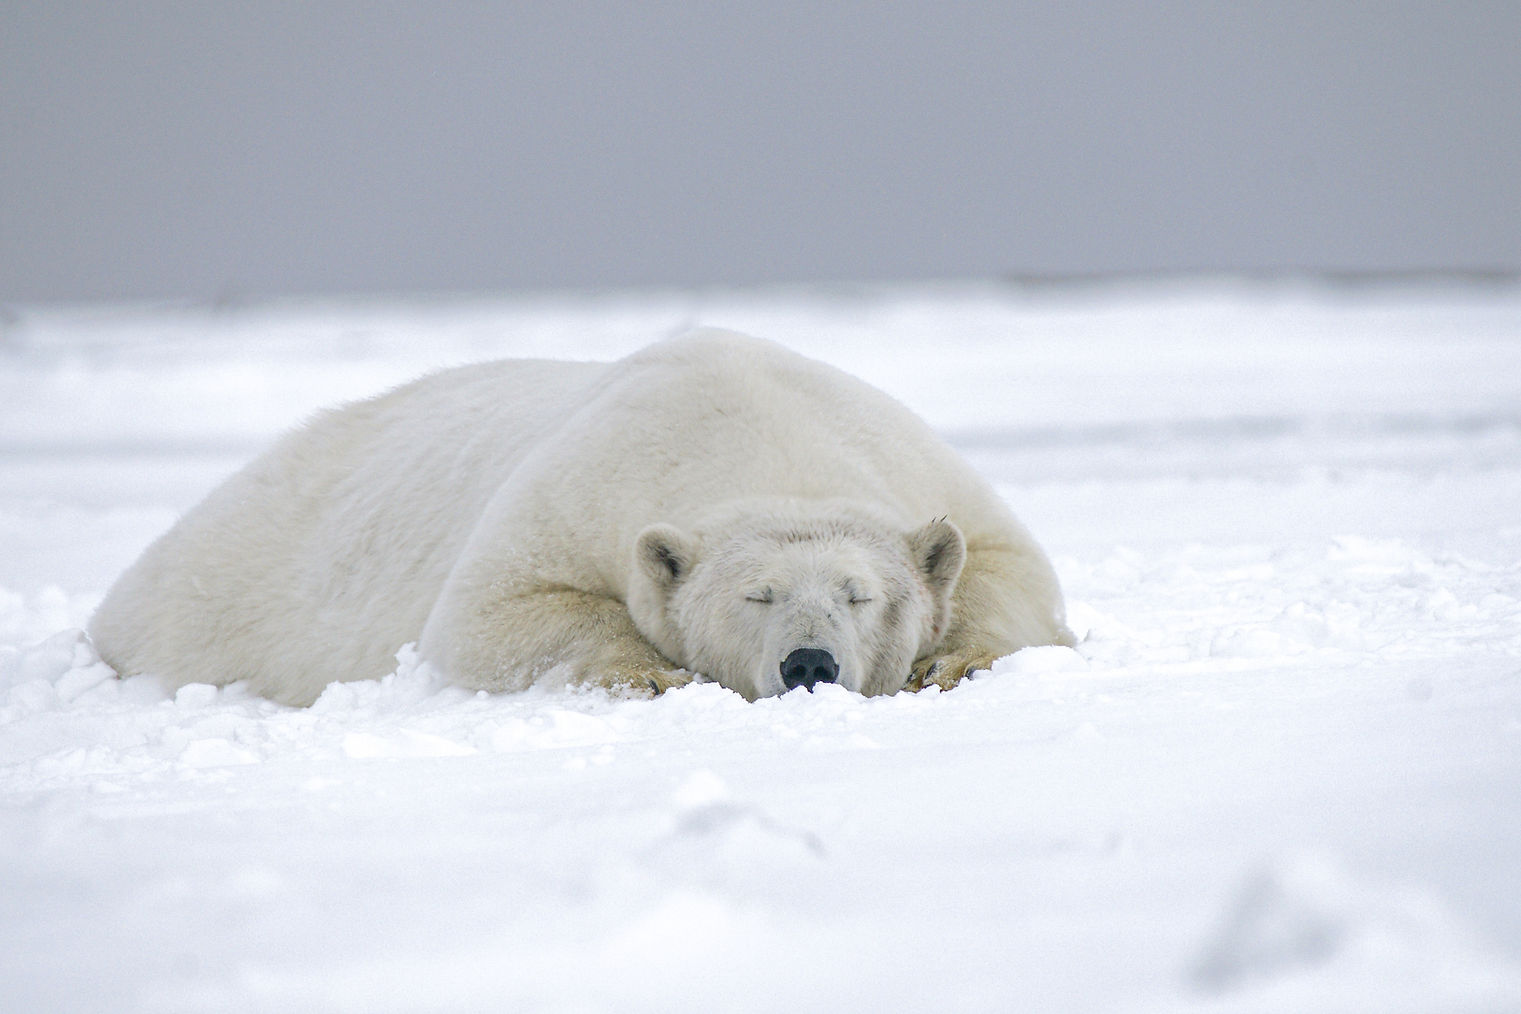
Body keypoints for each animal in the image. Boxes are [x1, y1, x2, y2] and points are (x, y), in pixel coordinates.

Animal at [89, 329, 1073, 705]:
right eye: (753, 597)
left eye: (859, 594)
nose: (808, 664)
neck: (757, 430)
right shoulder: (583, 486)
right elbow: (492, 615)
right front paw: (651, 675)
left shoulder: (910, 461)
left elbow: (1008, 568)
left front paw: (950, 661)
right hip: (219, 591)